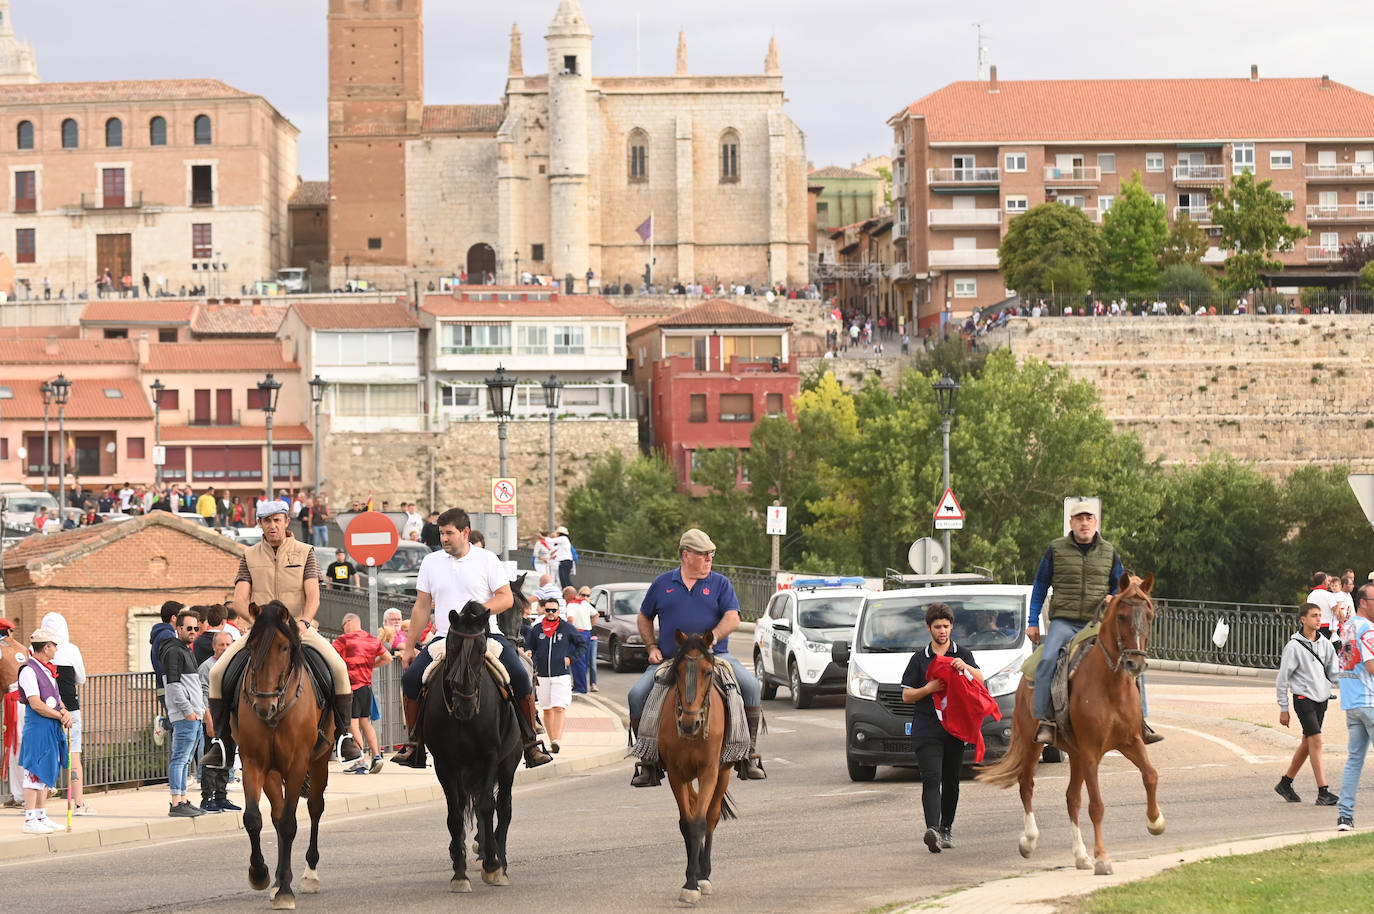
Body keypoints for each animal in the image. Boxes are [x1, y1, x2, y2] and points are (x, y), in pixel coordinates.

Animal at [236, 599, 332, 907]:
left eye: (284, 647)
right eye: (252, 646)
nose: (263, 706)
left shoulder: (298, 763)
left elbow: (290, 823)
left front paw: (286, 892)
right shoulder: (254, 763)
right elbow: (254, 819)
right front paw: (260, 874)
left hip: (319, 761)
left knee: (314, 808)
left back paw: (309, 875)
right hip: (273, 772)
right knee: (277, 815)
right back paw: (278, 880)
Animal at [423, 599, 519, 890]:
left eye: (481, 649)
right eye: (453, 646)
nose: (465, 704)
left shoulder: (490, 757)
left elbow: (488, 806)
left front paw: (492, 866)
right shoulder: (444, 764)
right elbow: (454, 814)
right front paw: (459, 873)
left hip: (508, 765)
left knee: (503, 808)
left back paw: (500, 859)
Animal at [656, 632, 736, 901]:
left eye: (707, 672)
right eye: (678, 671)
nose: (689, 723)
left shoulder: (709, 772)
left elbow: (700, 821)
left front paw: (695, 881)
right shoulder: (675, 774)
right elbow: (686, 822)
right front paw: (689, 879)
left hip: (723, 773)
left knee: (711, 817)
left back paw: (705, 873)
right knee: (692, 807)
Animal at [978, 571, 1159, 879]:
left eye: (1149, 615)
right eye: (1122, 616)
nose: (1135, 663)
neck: (1110, 685)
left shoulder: (1130, 741)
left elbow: (1150, 775)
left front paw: (1155, 822)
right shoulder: (1091, 752)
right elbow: (1096, 805)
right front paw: (1102, 858)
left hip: (1074, 754)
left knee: (1071, 798)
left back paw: (1080, 855)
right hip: (1034, 744)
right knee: (1026, 785)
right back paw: (1030, 841)